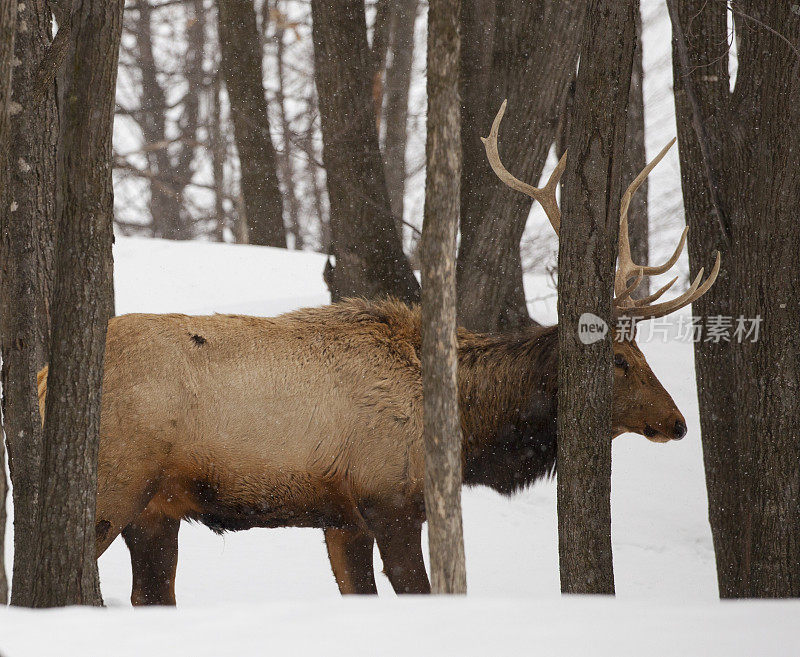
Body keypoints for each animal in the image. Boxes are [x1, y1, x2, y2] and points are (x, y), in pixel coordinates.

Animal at [34, 104, 720, 604]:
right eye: (620, 361)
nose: (677, 421)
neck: (468, 429)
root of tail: (41, 379)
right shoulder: (389, 497)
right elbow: (419, 590)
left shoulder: (342, 517)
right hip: (114, 482)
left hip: (158, 508)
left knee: (151, 594)